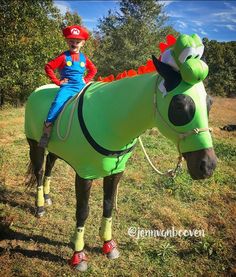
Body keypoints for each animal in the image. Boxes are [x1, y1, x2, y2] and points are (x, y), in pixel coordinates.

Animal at [24, 53, 217, 270]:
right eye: (178, 105)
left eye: (210, 103)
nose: (208, 166)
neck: (110, 118)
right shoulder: (84, 175)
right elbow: (82, 212)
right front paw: (78, 255)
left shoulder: (116, 173)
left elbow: (108, 206)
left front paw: (108, 245)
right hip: (35, 145)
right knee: (39, 172)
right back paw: (40, 206)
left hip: (55, 150)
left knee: (49, 164)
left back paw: (48, 197)